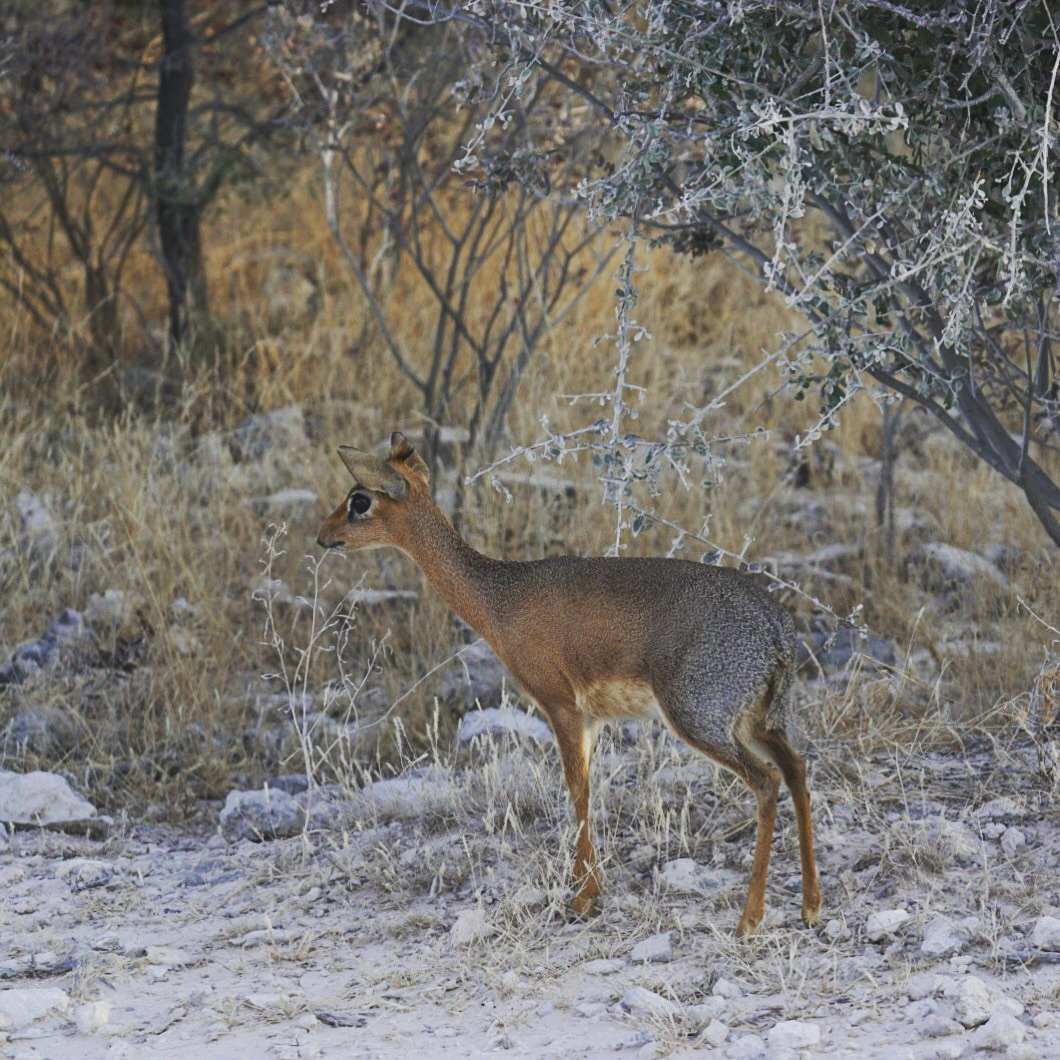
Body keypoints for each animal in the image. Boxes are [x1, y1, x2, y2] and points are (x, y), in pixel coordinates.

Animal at [317, 430, 822, 937]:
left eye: (359, 500)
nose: (324, 537)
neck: (500, 599)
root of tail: (776, 628)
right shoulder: (591, 719)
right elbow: (585, 789)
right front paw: (585, 889)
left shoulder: (560, 704)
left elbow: (577, 789)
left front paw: (584, 898)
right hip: (758, 721)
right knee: (796, 769)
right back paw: (811, 905)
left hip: (698, 717)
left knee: (766, 781)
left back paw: (750, 919)